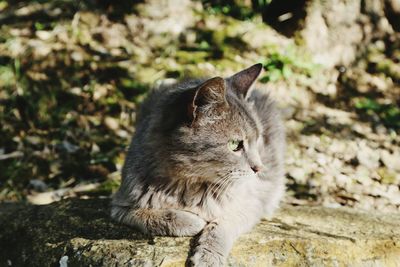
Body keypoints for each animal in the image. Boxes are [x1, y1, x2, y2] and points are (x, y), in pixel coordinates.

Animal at [111, 63, 286, 266]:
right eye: (235, 144)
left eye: (258, 140)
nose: (259, 168)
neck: (188, 185)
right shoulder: (120, 207)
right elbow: (148, 215)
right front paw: (190, 221)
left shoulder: (251, 204)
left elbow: (223, 225)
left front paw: (209, 255)